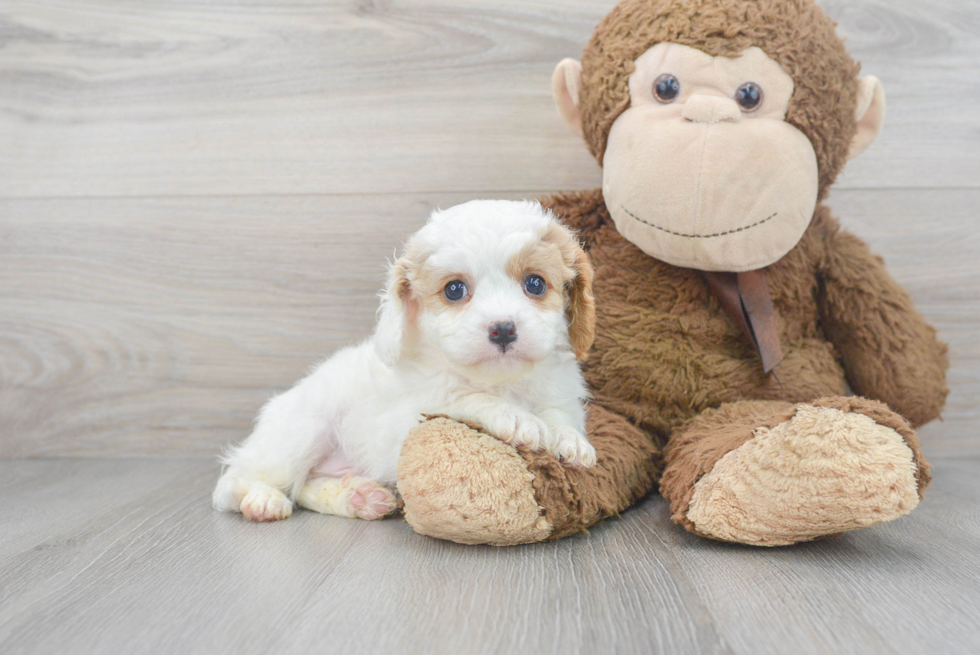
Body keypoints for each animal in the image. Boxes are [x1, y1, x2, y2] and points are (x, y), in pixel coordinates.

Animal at [212, 200, 596, 524]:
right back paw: (263, 499)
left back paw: (358, 497)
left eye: (535, 284)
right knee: (235, 483)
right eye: (454, 290)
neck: (501, 381)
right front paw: (515, 417)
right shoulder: (411, 416)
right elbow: (466, 398)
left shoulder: (560, 393)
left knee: (306, 485)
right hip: (301, 431)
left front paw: (570, 440)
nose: (502, 329)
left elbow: (559, 414)